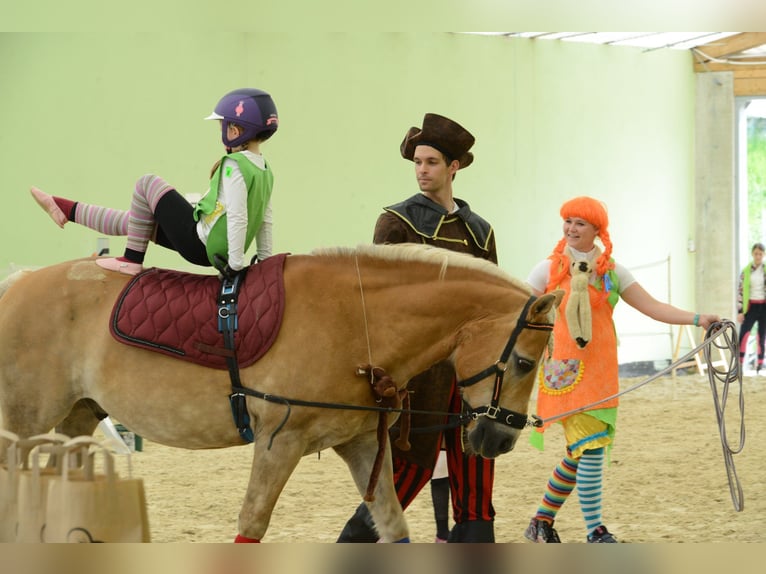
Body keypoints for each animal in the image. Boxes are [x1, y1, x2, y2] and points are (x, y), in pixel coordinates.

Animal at [0, 245, 564, 544]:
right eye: (523, 362)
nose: (500, 440)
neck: (355, 320)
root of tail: (17, 283)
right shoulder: (279, 445)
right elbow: (251, 524)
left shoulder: (363, 447)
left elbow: (391, 524)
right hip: (24, 427)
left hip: (75, 421)